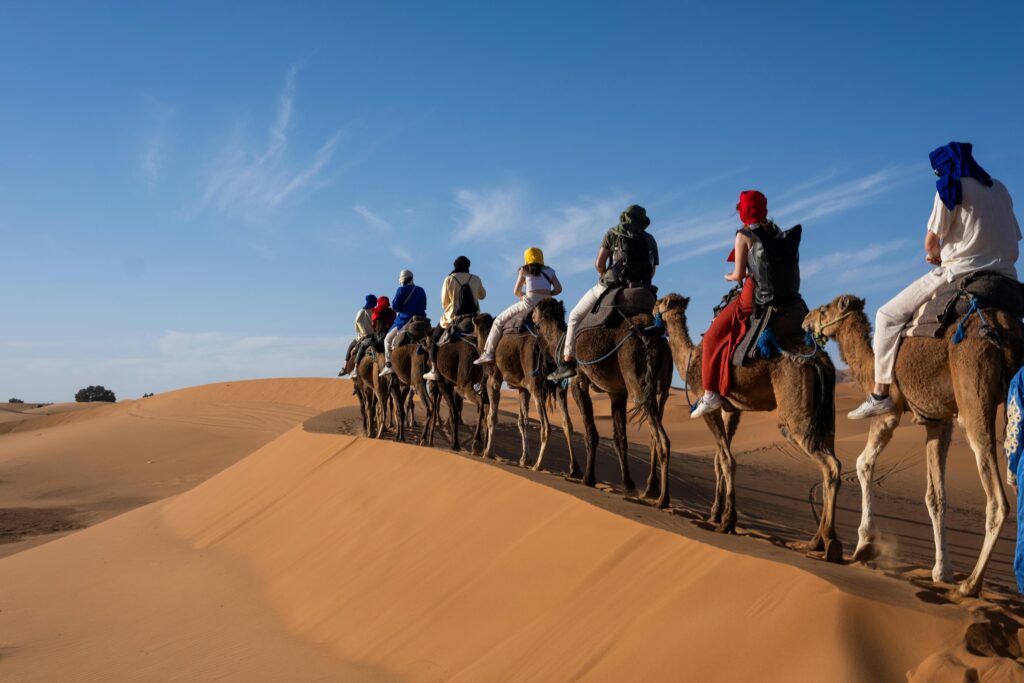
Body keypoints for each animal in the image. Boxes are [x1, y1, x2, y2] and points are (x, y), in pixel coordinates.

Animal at [475, 313, 580, 475]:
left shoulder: (494, 379)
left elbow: (492, 417)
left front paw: (488, 453)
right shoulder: (522, 388)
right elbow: (522, 421)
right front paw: (525, 459)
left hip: (536, 384)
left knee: (546, 426)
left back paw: (538, 465)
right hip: (558, 384)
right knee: (567, 422)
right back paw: (574, 468)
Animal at [532, 298, 672, 507]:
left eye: (536, 316)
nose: (531, 316)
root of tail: (649, 337)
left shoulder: (579, 382)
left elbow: (591, 433)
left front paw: (588, 478)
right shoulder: (617, 393)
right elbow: (620, 439)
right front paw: (628, 484)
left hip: (637, 382)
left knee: (662, 439)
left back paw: (662, 498)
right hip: (662, 388)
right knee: (657, 430)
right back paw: (654, 492)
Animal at [654, 293, 844, 562]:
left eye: (659, 302)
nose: (651, 310)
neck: (689, 360)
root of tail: (819, 360)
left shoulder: (708, 404)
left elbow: (727, 460)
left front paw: (727, 521)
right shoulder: (732, 409)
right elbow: (719, 459)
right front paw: (715, 513)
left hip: (795, 414)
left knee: (830, 465)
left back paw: (828, 542)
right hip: (827, 416)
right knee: (831, 460)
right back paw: (817, 541)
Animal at [804, 294, 1024, 595]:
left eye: (824, 309)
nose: (806, 321)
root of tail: (1005, 329)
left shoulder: (889, 411)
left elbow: (863, 463)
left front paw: (865, 544)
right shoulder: (937, 420)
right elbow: (935, 496)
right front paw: (942, 570)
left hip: (975, 398)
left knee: (997, 501)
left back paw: (970, 584)